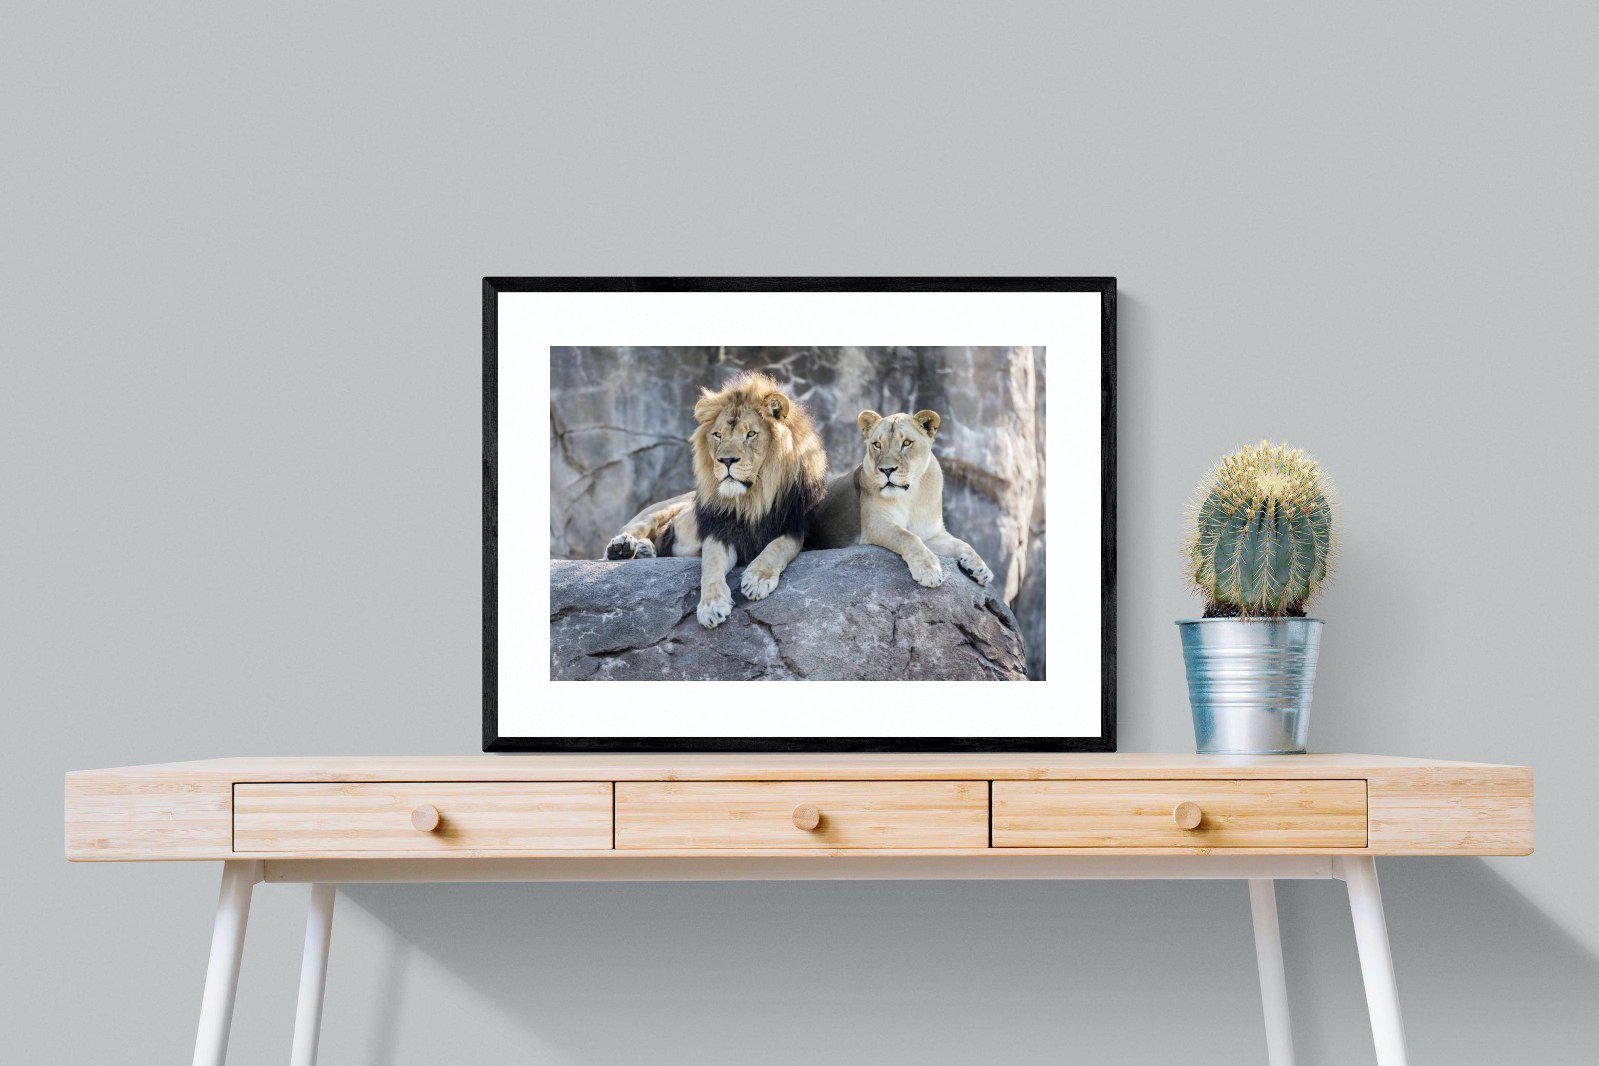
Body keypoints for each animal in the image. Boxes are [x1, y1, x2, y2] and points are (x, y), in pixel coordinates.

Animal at [603, 371, 828, 628]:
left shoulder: (796, 528)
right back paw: (622, 547)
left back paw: (644, 549)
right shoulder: (720, 530)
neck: (752, 499)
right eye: (718, 435)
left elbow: (777, 547)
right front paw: (711, 606)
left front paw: (757, 579)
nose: (726, 460)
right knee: (632, 529)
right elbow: (710, 566)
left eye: (751, 434)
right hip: (661, 509)